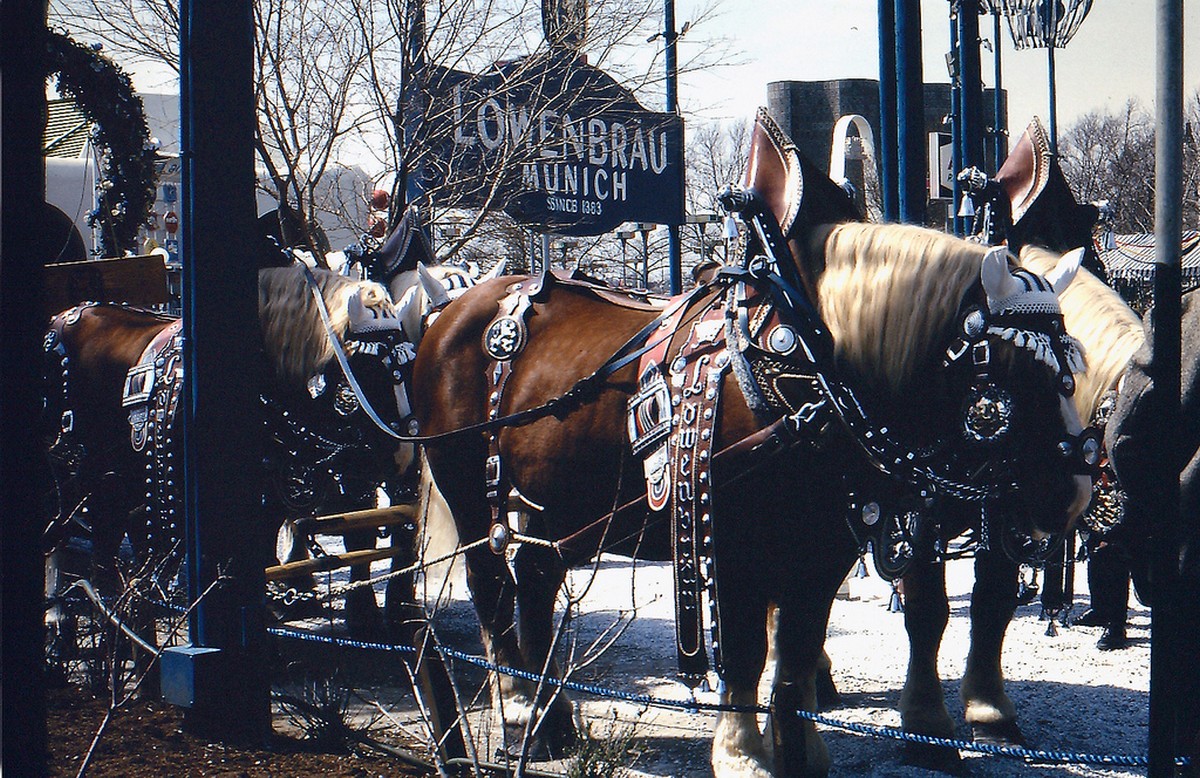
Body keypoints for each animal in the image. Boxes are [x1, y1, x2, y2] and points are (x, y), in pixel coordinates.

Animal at [415, 112, 1099, 773]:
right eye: (1003, 379)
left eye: (1066, 362)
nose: (1074, 490)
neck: (814, 363)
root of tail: (451, 310)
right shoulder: (732, 539)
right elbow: (747, 650)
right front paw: (743, 755)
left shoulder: (825, 545)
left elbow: (797, 648)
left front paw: (801, 750)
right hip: (471, 492)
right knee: (491, 588)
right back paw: (515, 710)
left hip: (557, 504)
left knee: (535, 578)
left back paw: (549, 724)